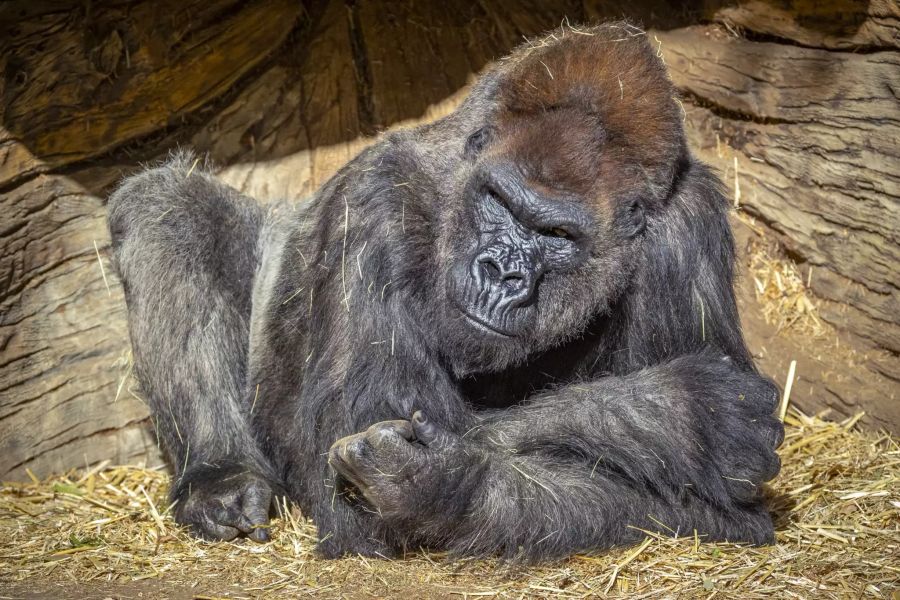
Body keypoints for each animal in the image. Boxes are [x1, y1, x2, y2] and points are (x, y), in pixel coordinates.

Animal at [107, 21, 780, 560]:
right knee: (167, 207)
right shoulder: (374, 202)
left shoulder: (687, 229)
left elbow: (718, 515)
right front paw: (683, 414)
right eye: (499, 203)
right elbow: (351, 474)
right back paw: (220, 478)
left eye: (556, 234)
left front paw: (439, 485)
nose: (501, 273)